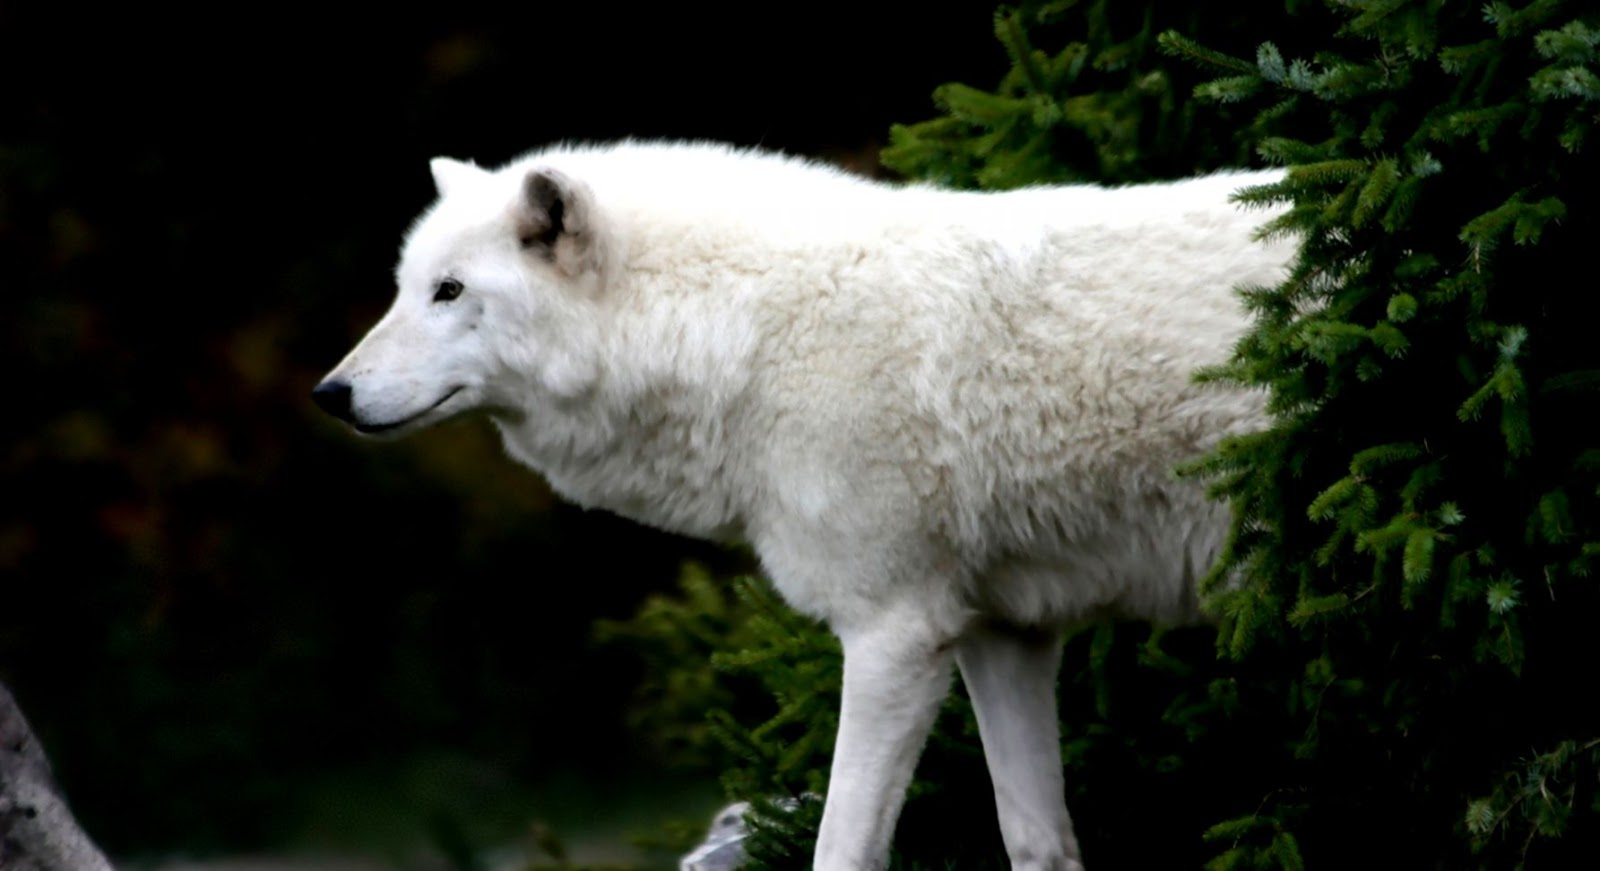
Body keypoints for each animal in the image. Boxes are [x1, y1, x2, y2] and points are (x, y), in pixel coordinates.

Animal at [312, 140, 1293, 870]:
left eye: (450, 292)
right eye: (405, 288)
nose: (330, 393)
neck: (749, 331)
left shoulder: (894, 634)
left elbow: (841, 847)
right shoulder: (1001, 633)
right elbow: (1035, 838)